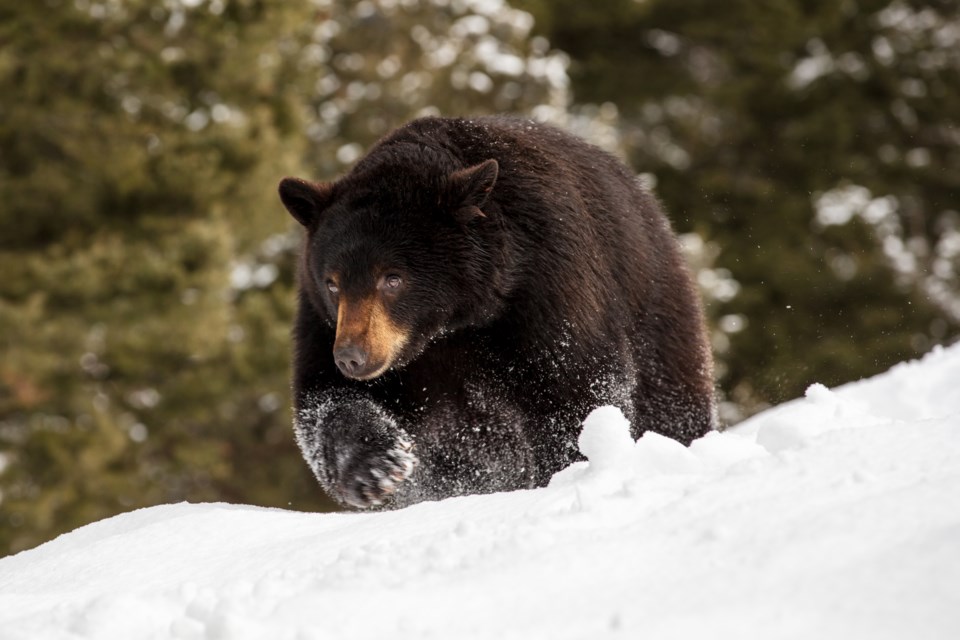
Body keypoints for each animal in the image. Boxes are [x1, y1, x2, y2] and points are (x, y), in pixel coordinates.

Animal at [278, 114, 712, 504]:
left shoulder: (546, 285)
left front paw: (570, 471)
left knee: (672, 408)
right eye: (333, 282)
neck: (453, 324)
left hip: (656, 319)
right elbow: (323, 397)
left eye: (392, 278)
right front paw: (375, 468)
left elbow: (575, 388)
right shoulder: (322, 318)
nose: (352, 356)